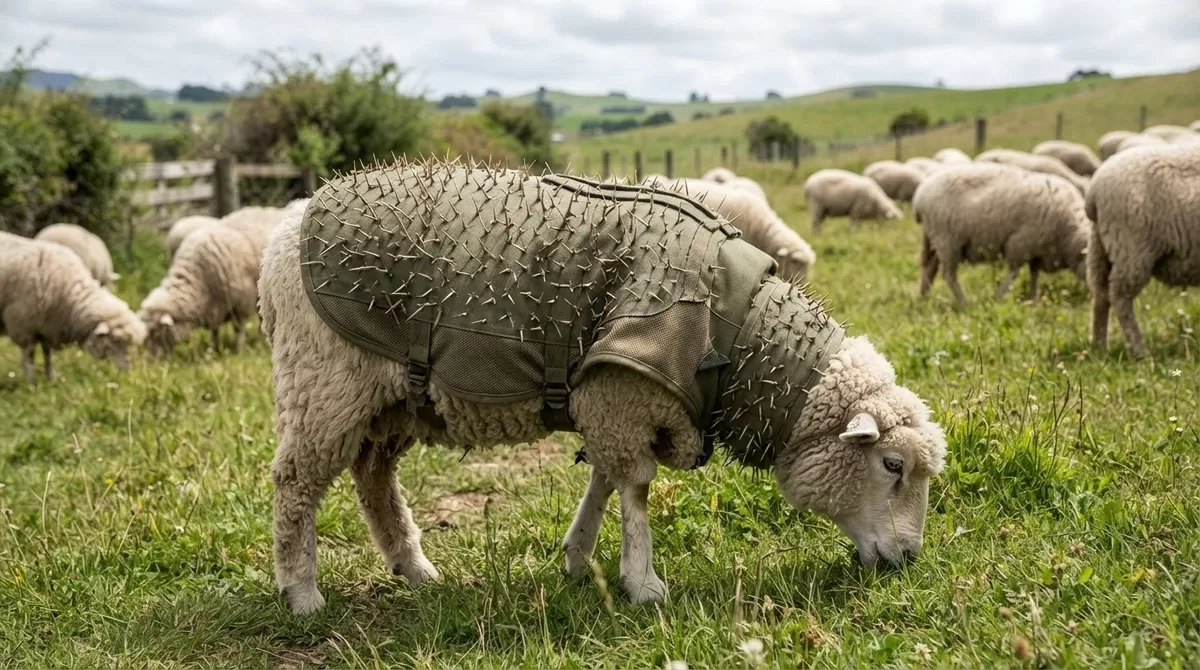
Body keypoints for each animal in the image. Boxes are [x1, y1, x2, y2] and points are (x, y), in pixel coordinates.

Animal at [0, 232, 145, 382]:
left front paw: (51, 378)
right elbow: (28, 357)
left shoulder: (47, 327)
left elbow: (48, 354)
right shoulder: (23, 327)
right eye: (117, 340)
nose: (128, 372)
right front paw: (31, 382)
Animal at [913, 163, 1091, 309]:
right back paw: (964, 303)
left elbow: (1034, 274)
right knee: (949, 275)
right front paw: (999, 297)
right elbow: (1013, 273)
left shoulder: (1036, 250)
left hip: (933, 238)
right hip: (947, 240)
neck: (1068, 233)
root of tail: (920, 195)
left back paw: (923, 297)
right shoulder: (1019, 244)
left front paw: (1034, 298)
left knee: (929, 267)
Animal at [1086, 144, 1200, 358]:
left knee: (1100, 295)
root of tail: (1094, 190)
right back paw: (1139, 351)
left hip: (1100, 246)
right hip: (1132, 248)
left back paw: (1099, 347)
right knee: (1119, 297)